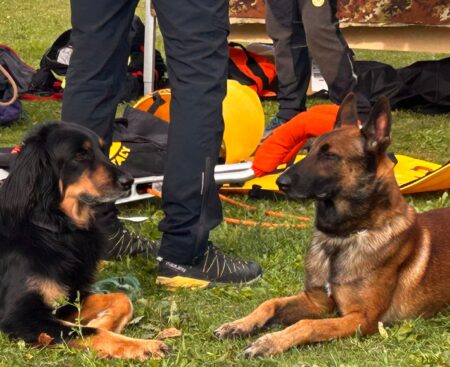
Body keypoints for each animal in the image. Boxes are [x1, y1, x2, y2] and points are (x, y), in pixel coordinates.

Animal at [0, 123, 169, 362]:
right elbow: (89, 331)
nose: (129, 182)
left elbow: (121, 298)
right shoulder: (20, 314)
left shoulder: (70, 295)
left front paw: (102, 321)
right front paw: (145, 345)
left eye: (103, 149)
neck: (55, 229)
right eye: (80, 155)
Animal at [214, 94, 450, 356]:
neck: (341, 237)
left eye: (330, 155)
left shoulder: (361, 318)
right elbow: (270, 302)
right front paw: (240, 324)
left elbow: (306, 324)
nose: (280, 181)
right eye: (308, 150)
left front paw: (269, 341)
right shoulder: (316, 302)